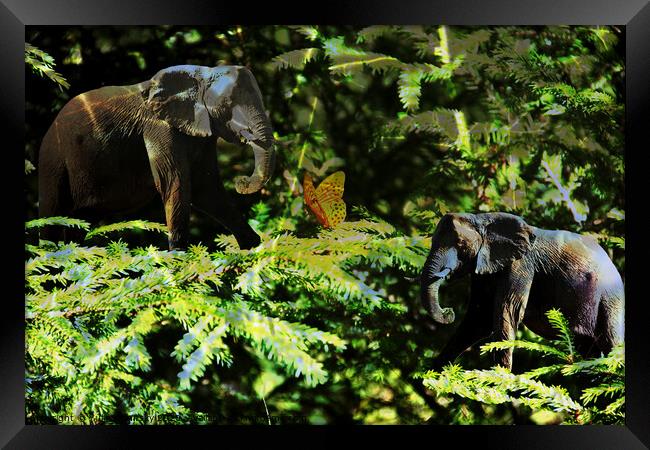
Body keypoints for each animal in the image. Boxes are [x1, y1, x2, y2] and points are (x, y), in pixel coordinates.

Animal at [37, 63, 276, 250]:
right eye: (228, 106)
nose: (241, 181)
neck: (202, 74)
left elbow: (206, 189)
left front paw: (253, 246)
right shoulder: (158, 127)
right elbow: (174, 182)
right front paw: (179, 255)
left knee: (81, 219)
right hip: (52, 160)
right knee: (52, 216)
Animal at [420, 213, 624, 370]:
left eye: (461, 244)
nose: (449, 312)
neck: (482, 219)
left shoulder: (522, 265)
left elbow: (507, 311)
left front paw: (500, 378)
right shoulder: (484, 270)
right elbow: (479, 318)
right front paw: (434, 373)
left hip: (611, 298)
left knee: (612, 340)